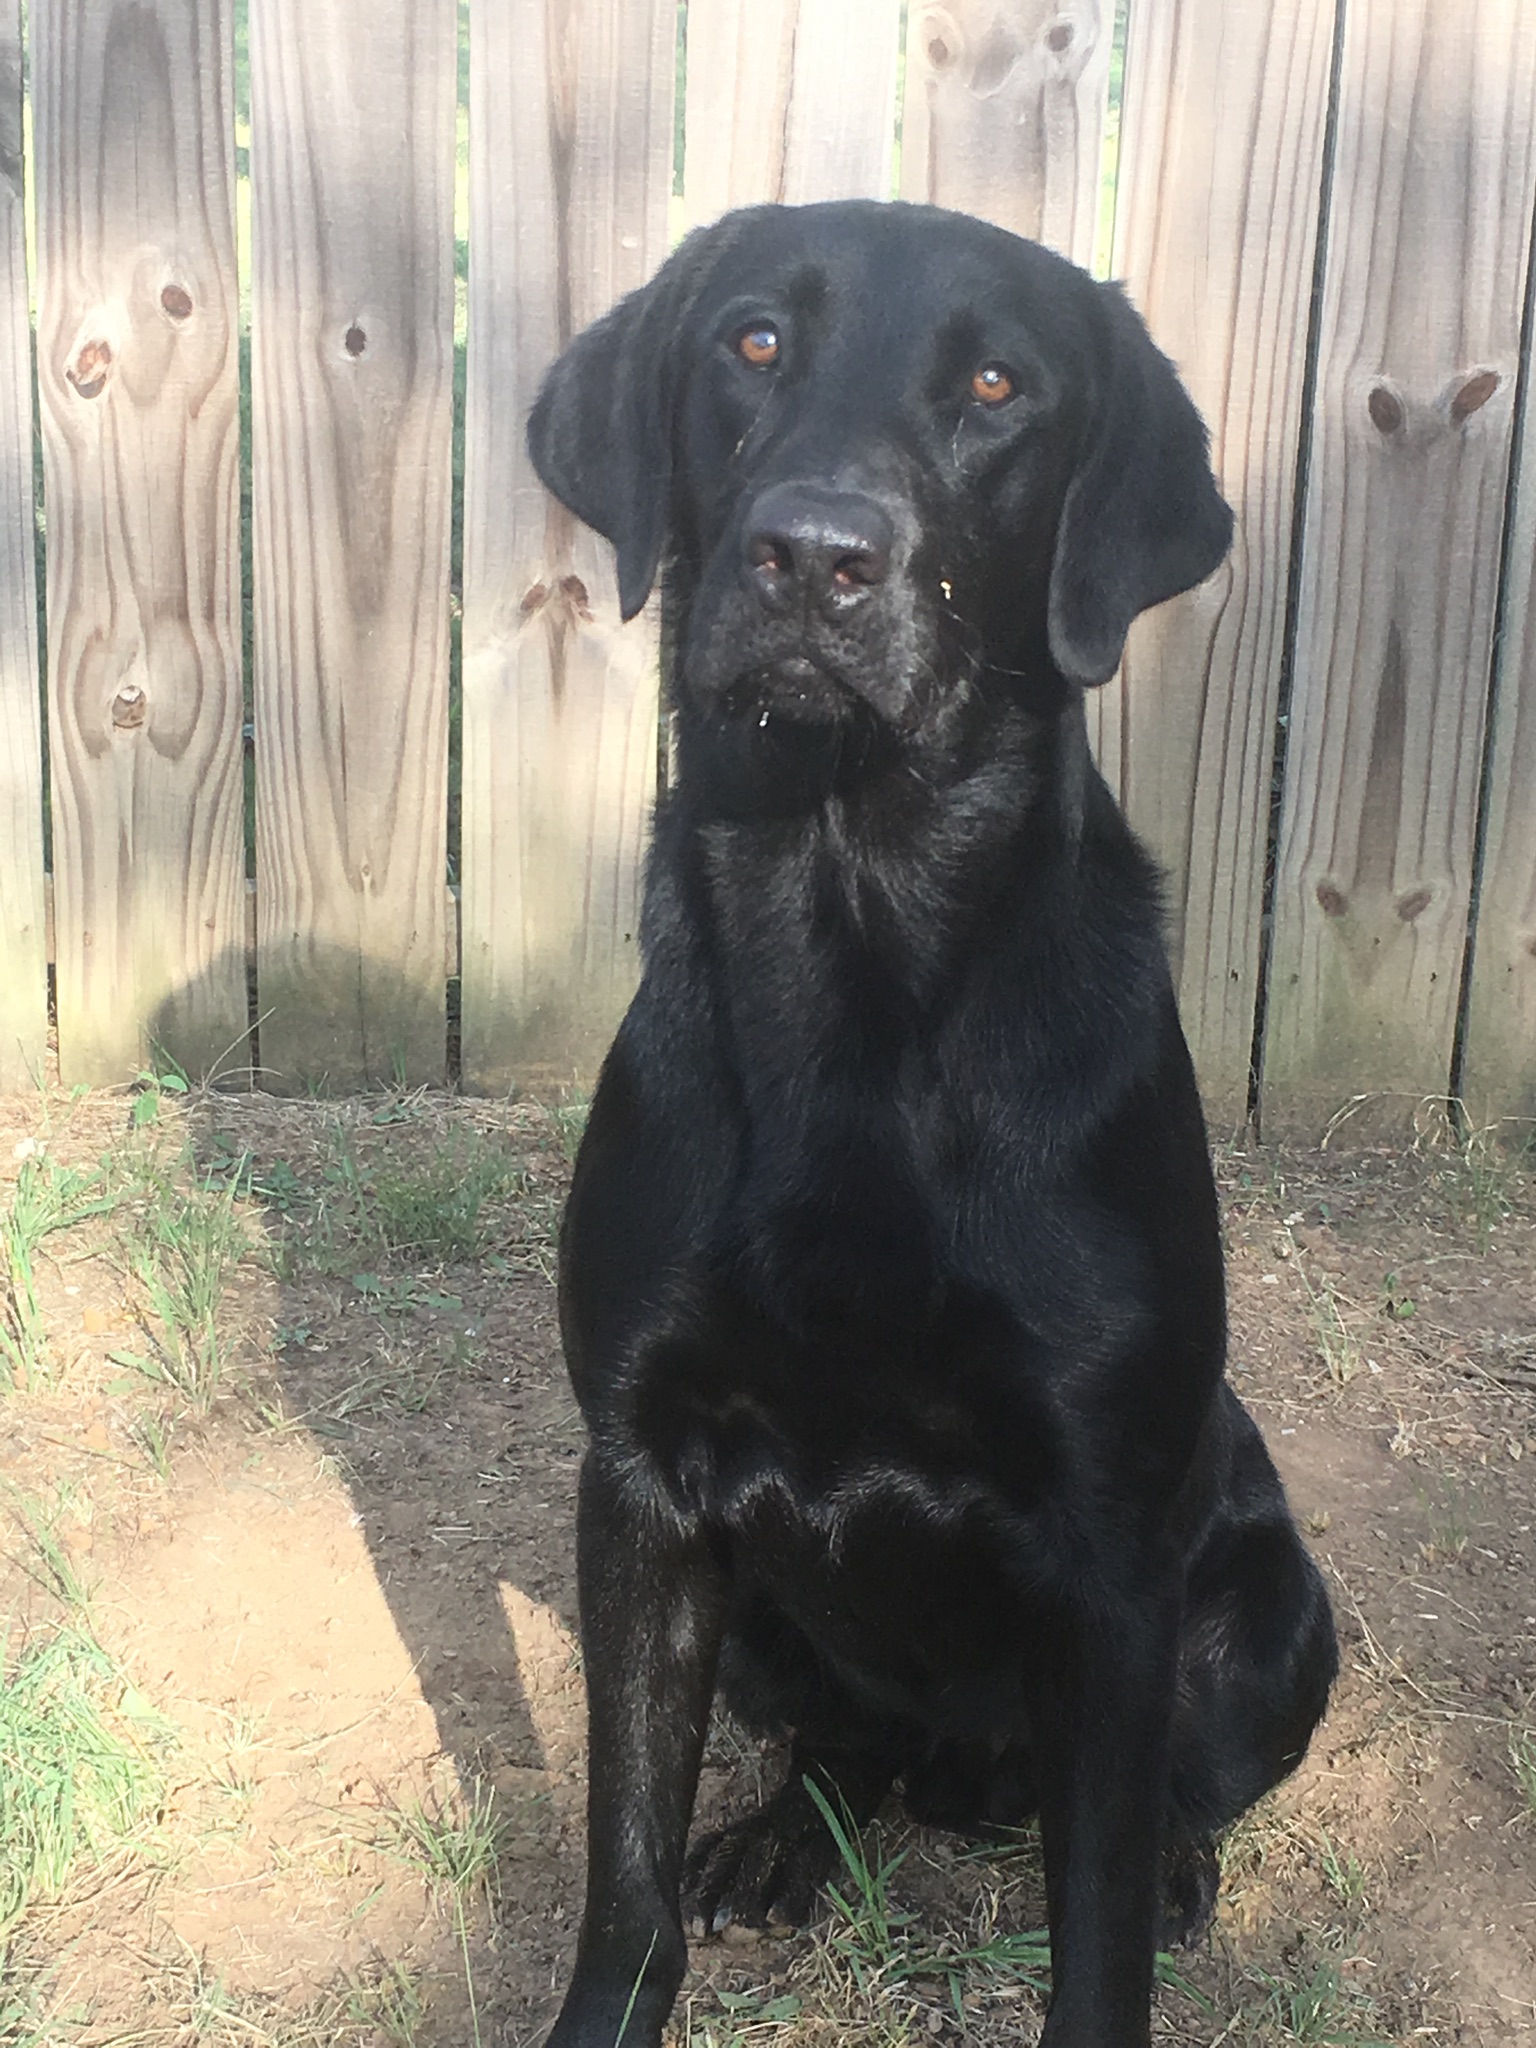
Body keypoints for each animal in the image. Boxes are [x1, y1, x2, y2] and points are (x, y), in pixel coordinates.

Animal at [528, 203, 1335, 2048]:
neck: (854, 966)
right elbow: (622, 1864)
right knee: (848, 1744)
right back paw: (777, 1840)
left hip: (1270, 1617)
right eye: (752, 342)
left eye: (996, 387)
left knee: (1174, 1794)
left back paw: (1177, 1868)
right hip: (767, 1615)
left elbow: (1094, 1942)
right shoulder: (640, 1485)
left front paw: (1132, 1916)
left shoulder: (1109, 1564)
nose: (815, 556)